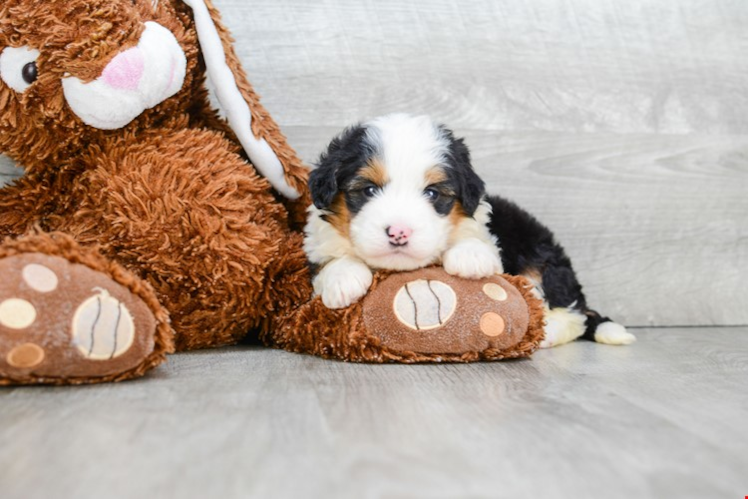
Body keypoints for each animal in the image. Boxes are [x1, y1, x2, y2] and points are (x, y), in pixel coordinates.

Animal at [304, 113, 636, 348]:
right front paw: (344, 279)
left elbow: (475, 238)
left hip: (539, 254)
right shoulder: (315, 241)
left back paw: (547, 332)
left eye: (433, 194)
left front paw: (470, 257)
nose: (399, 232)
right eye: (369, 190)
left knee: (571, 312)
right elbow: (330, 259)